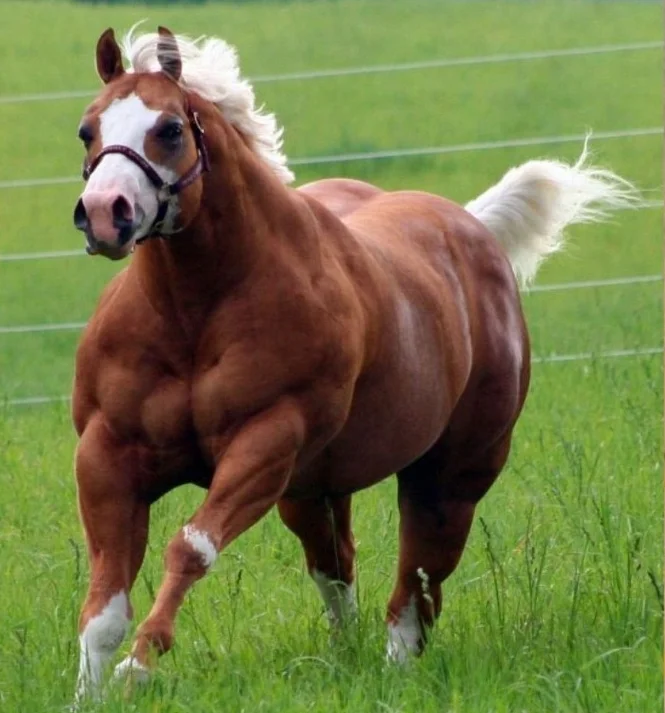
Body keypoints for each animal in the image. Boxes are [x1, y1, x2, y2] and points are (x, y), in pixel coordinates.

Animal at [70, 26, 638, 701]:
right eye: (88, 129)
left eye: (171, 129)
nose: (104, 212)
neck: (197, 313)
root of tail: (470, 224)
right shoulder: (108, 454)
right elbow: (105, 600)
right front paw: (87, 693)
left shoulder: (266, 443)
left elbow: (191, 548)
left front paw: (137, 666)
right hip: (314, 489)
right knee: (338, 565)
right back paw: (347, 659)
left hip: (451, 475)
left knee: (419, 579)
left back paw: (395, 670)